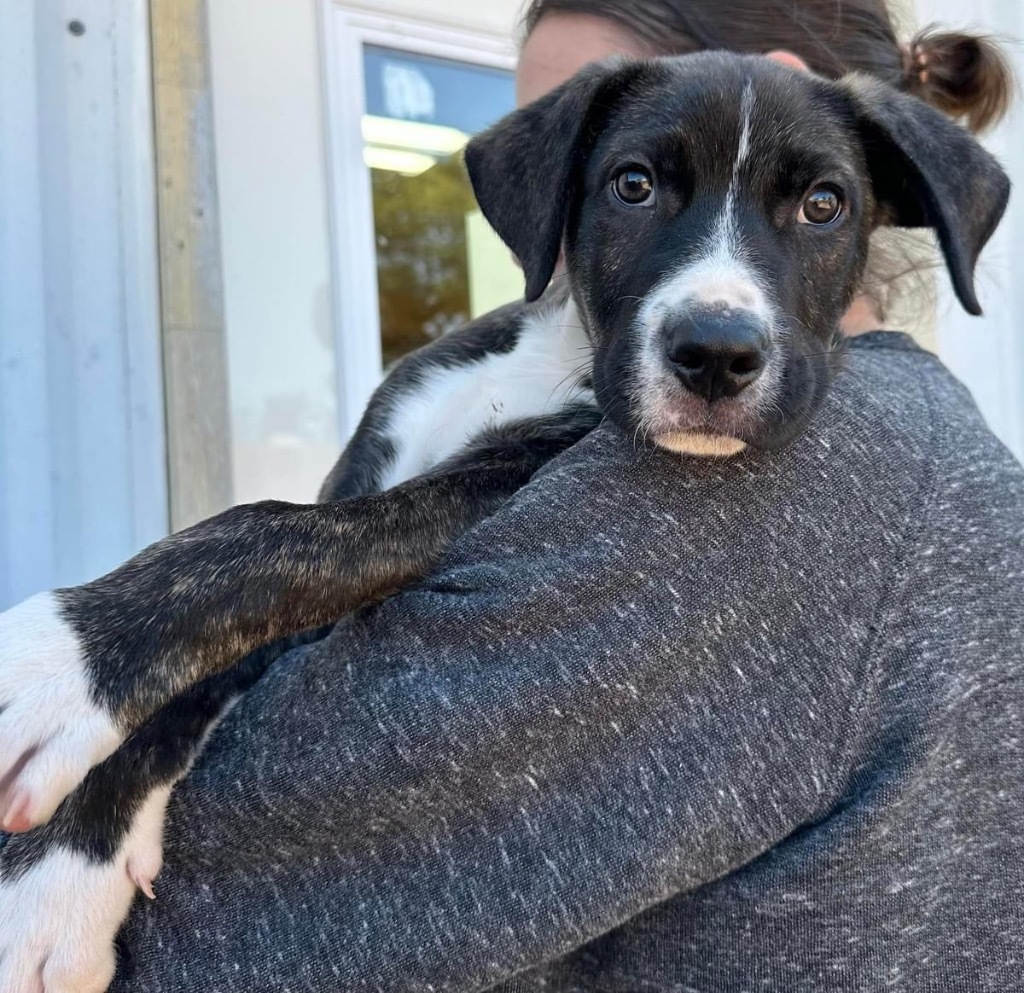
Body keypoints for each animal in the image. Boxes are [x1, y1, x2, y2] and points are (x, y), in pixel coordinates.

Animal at [0, 56, 1007, 990]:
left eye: (824, 205)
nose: (718, 353)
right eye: (632, 185)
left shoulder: (488, 487)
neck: (558, 348)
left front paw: (60, 669)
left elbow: (271, 536)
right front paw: (60, 863)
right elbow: (227, 639)